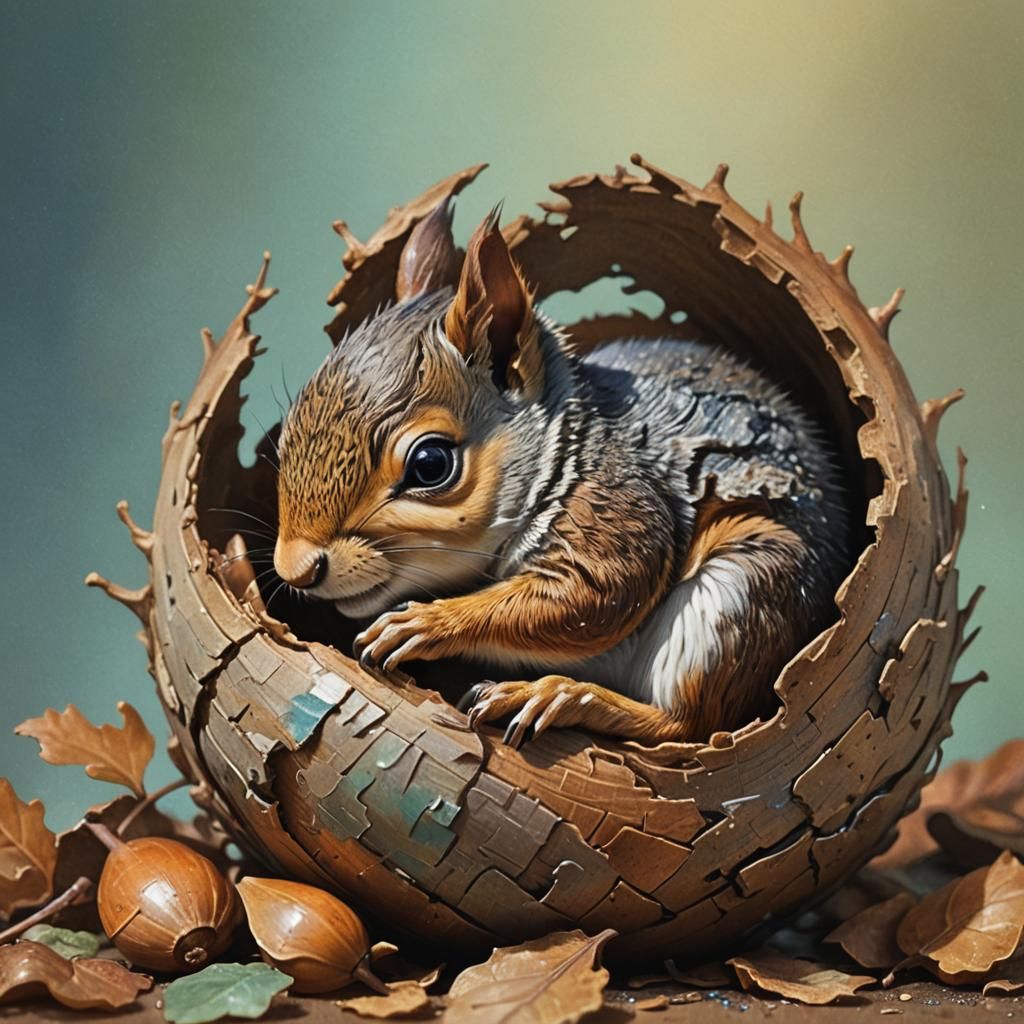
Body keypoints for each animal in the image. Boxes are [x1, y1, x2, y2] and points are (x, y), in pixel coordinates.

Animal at [272, 199, 849, 748]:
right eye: (284, 435)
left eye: (430, 464)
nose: (294, 571)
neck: (565, 454)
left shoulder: (620, 507)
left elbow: (593, 596)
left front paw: (426, 621)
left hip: (738, 593)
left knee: (689, 724)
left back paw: (562, 695)